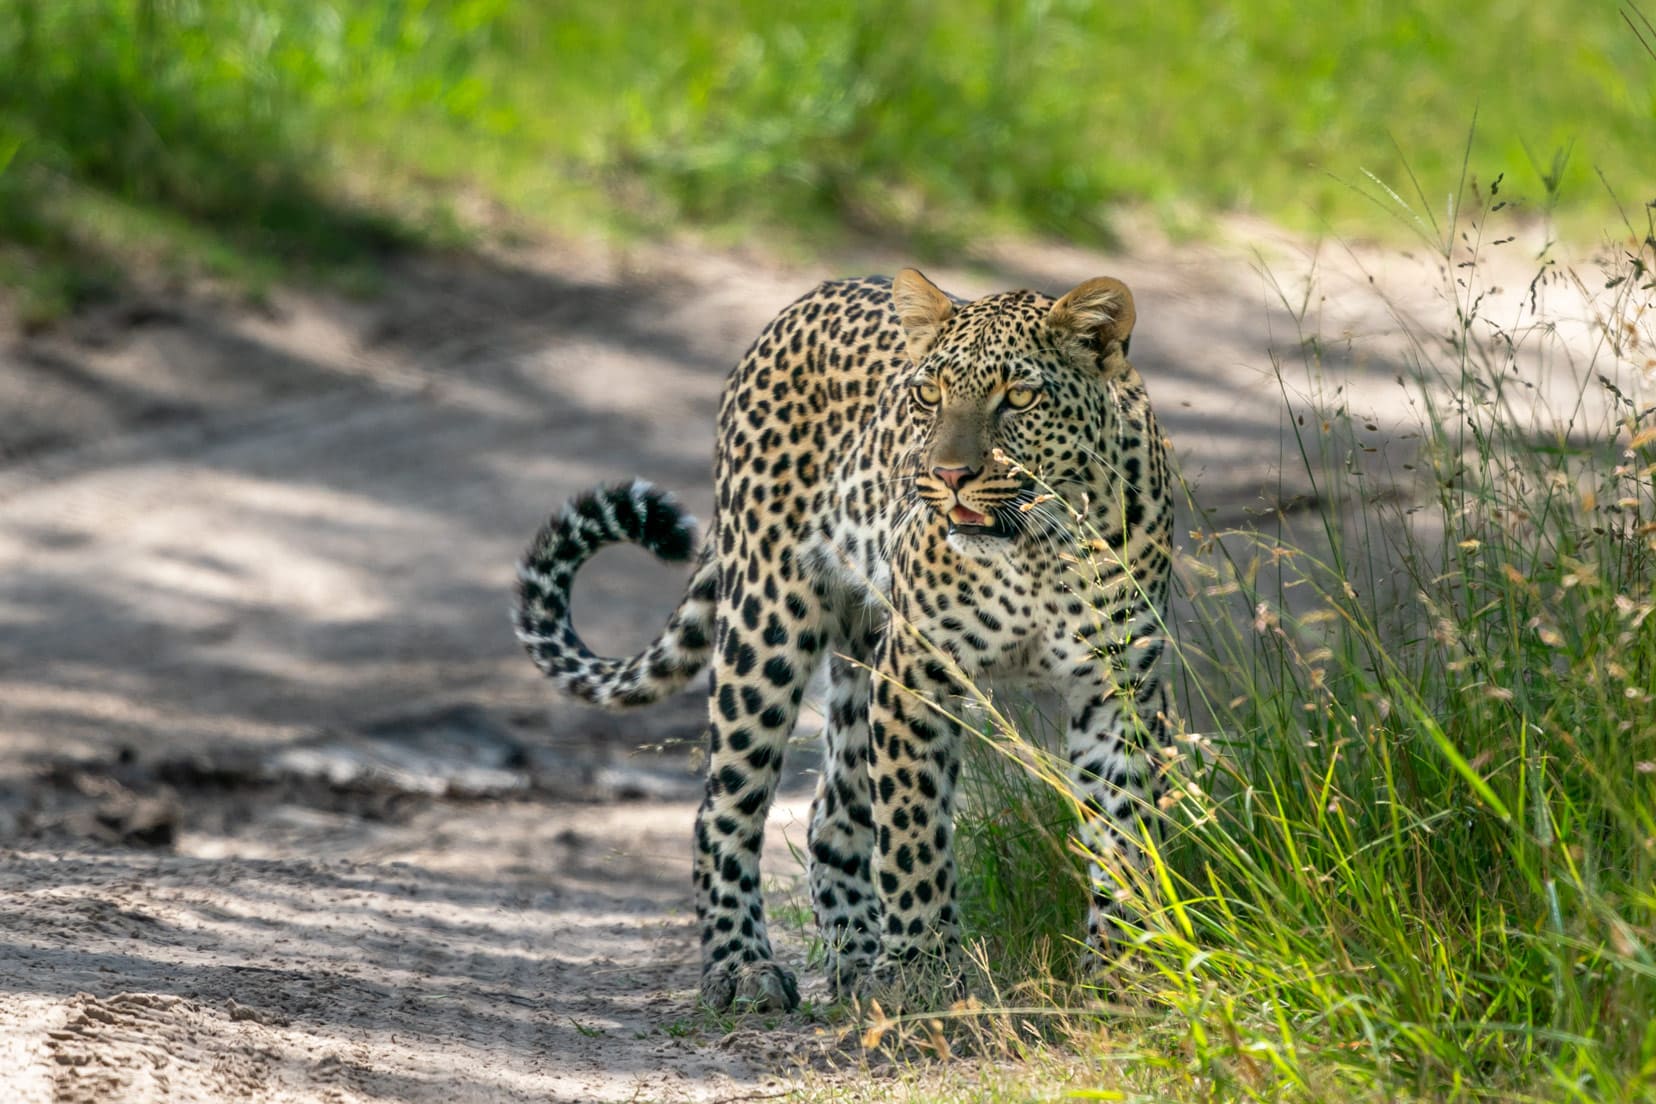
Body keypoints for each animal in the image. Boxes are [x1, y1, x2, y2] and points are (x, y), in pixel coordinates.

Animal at [516, 268, 1179, 1012]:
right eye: (929, 394)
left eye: (1020, 397)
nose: (948, 476)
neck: (1038, 549)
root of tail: (798, 305)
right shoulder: (916, 676)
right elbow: (912, 835)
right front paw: (924, 971)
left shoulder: (1116, 689)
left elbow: (1124, 837)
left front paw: (1126, 971)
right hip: (767, 620)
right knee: (724, 808)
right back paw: (742, 967)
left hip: (860, 652)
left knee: (831, 813)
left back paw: (857, 962)